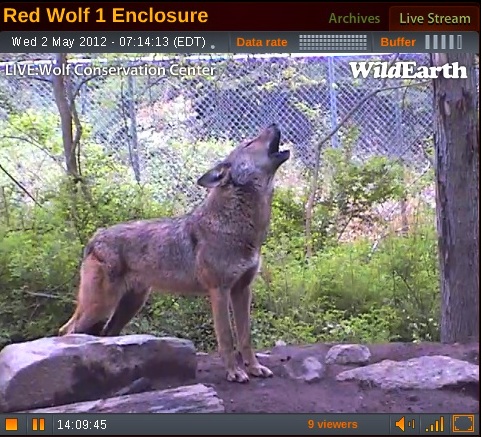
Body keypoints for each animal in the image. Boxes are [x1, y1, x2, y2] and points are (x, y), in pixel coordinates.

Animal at [59, 124, 290, 383]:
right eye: (249, 143)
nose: (274, 124)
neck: (239, 227)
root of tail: (94, 237)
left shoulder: (242, 290)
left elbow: (245, 337)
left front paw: (254, 368)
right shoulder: (219, 291)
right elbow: (227, 338)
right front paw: (234, 372)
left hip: (129, 305)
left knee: (106, 334)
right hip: (99, 305)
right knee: (66, 331)